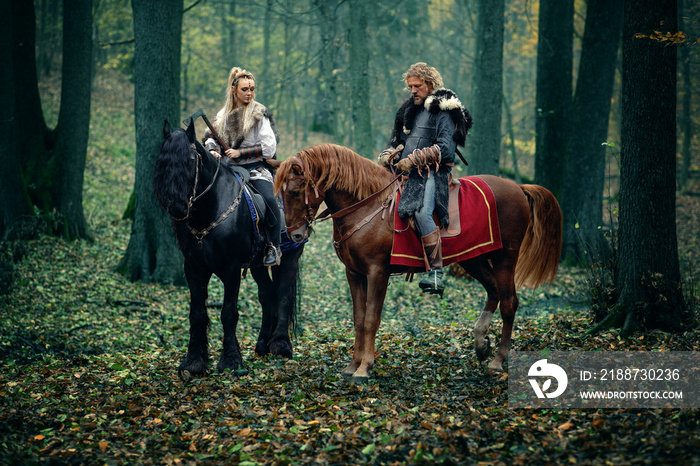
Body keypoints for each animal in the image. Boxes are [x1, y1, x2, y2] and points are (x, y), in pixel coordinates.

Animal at [154, 120, 304, 374]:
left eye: (191, 160)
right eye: (163, 160)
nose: (177, 206)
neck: (208, 211)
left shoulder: (231, 269)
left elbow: (229, 313)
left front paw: (231, 360)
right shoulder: (193, 268)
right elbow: (197, 314)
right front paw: (194, 360)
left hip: (290, 256)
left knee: (283, 293)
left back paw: (281, 346)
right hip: (257, 265)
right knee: (268, 294)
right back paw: (262, 345)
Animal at [274, 144, 564, 380]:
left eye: (296, 192)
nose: (294, 235)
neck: (366, 206)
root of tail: (518, 188)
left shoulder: (377, 272)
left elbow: (371, 319)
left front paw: (365, 367)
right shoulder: (354, 273)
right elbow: (358, 318)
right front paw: (352, 365)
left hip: (505, 258)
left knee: (508, 302)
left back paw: (498, 360)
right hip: (474, 258)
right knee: (493, 291)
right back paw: (481, 344)